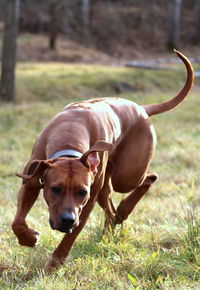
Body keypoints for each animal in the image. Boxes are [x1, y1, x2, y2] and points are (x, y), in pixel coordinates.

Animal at [11, 49, 194, 272]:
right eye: (55, 189)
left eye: (82, 192)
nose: (68, 220)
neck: (69, 134)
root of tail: (142, 108)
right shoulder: (31, 180)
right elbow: (17, 222)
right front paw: (28, 238)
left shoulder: (86, 203)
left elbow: (68, 240)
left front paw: (53, 266)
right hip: (107, 178)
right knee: (109, 203)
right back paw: (113, 223)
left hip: (126, 175)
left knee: (148, 177)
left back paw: (123, 211)